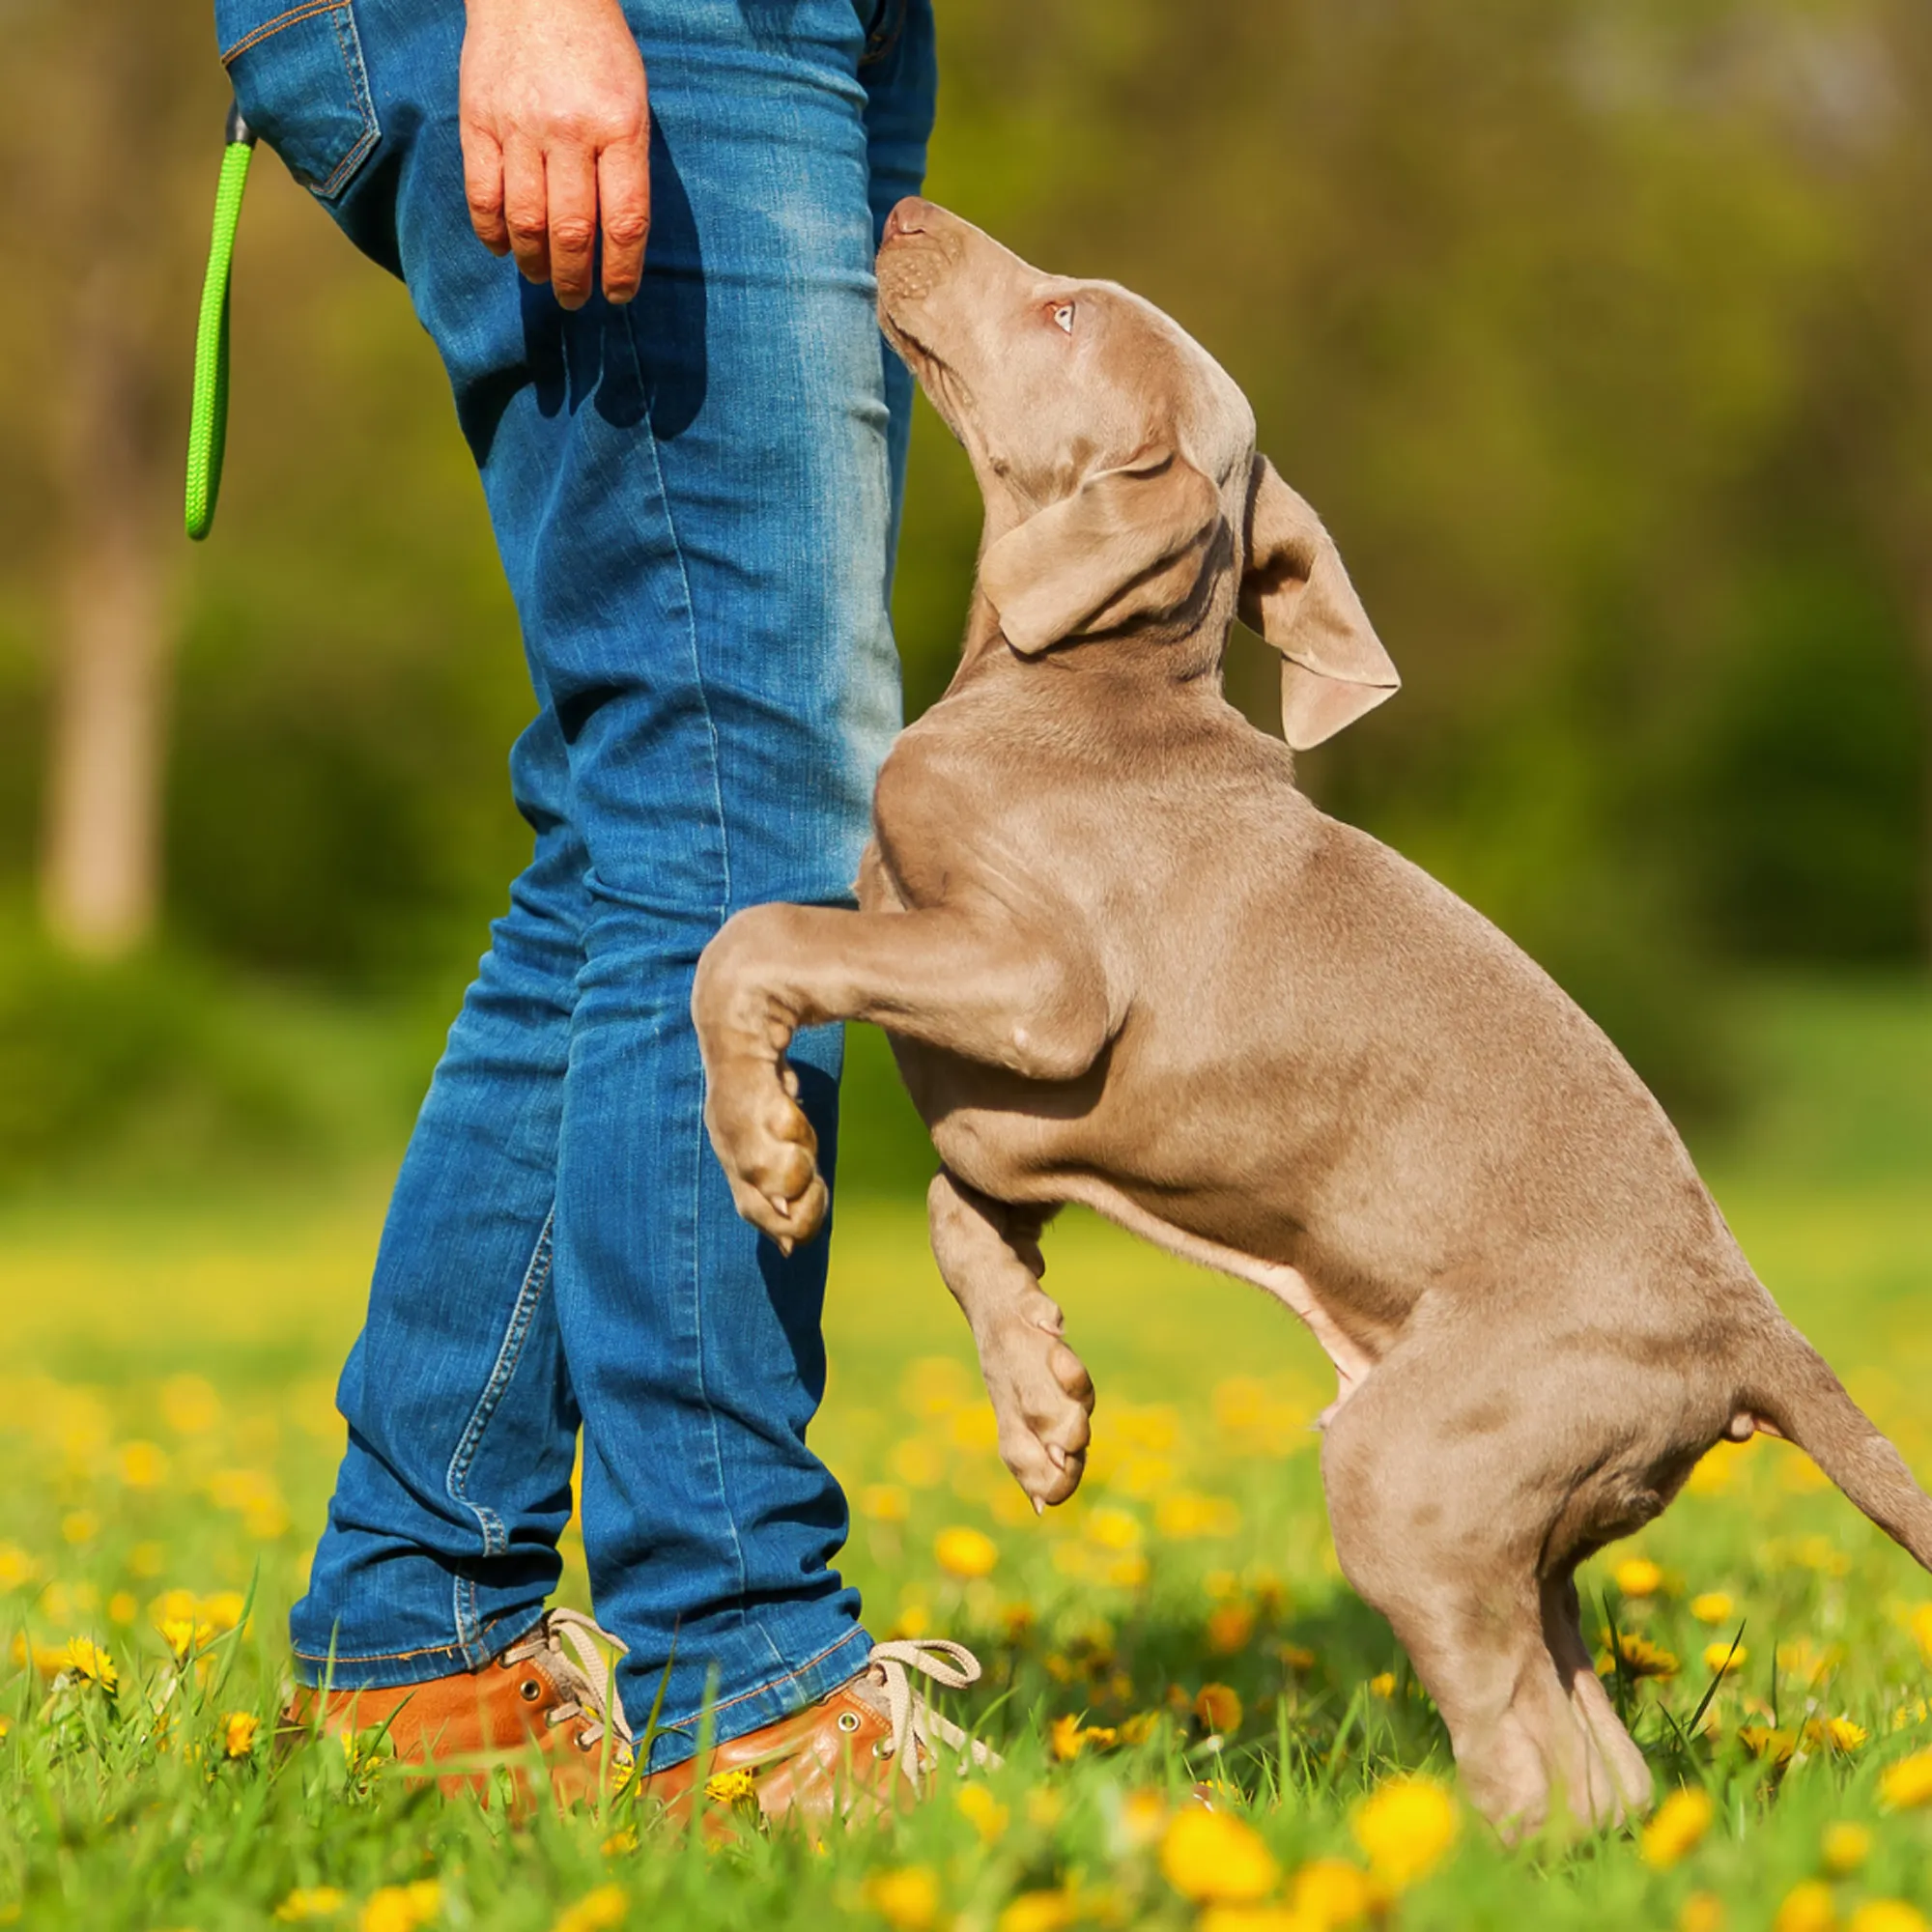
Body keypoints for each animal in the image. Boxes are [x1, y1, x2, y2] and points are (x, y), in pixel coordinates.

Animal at [696, 200, 1932, 1839]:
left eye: (1068, 312)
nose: (903, 212)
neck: (1082, 684)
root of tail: (1748, 1328)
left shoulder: (1043, 993)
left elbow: (755, 939)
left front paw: (764, 1154)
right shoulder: (1006, 1096)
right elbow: (965, 1209)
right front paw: (1042, 1407)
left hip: (1413, 1466)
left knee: (1530, 1747)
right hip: (1520, 1499)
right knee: (1598, 1757)